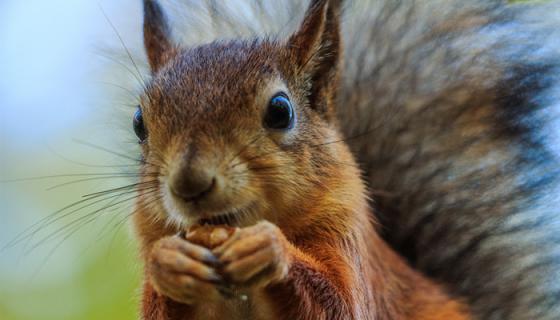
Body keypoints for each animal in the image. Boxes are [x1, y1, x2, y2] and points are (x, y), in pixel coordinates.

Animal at [128, 0, 560, 320]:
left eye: (280, 111)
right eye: (138, 123)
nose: (189, 183)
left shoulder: (347, 241)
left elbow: (339, 304)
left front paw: (269, 249)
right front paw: (170, 262)